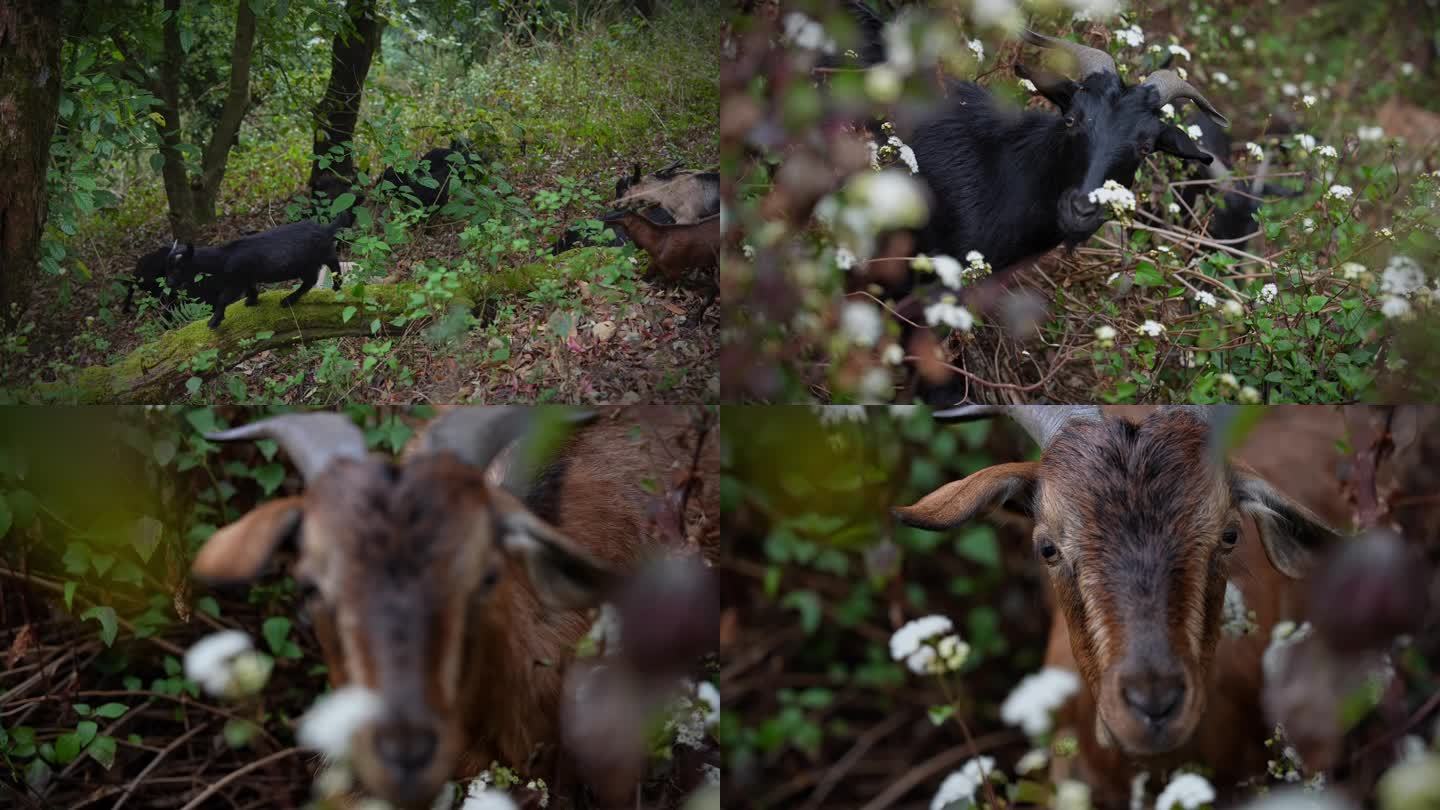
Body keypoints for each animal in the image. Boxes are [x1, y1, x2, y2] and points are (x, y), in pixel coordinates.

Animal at [163, 214, 351, 331]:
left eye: (178, 267)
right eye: (168, 266)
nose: (169, 283)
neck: (224, 257)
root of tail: (325, 230)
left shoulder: (236, 281)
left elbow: (222, 299)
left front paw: (214, 321)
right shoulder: (247, 277)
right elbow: (252, 289)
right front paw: (251, 301)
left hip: (315, 259)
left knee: (330, 268)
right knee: (312, 279)